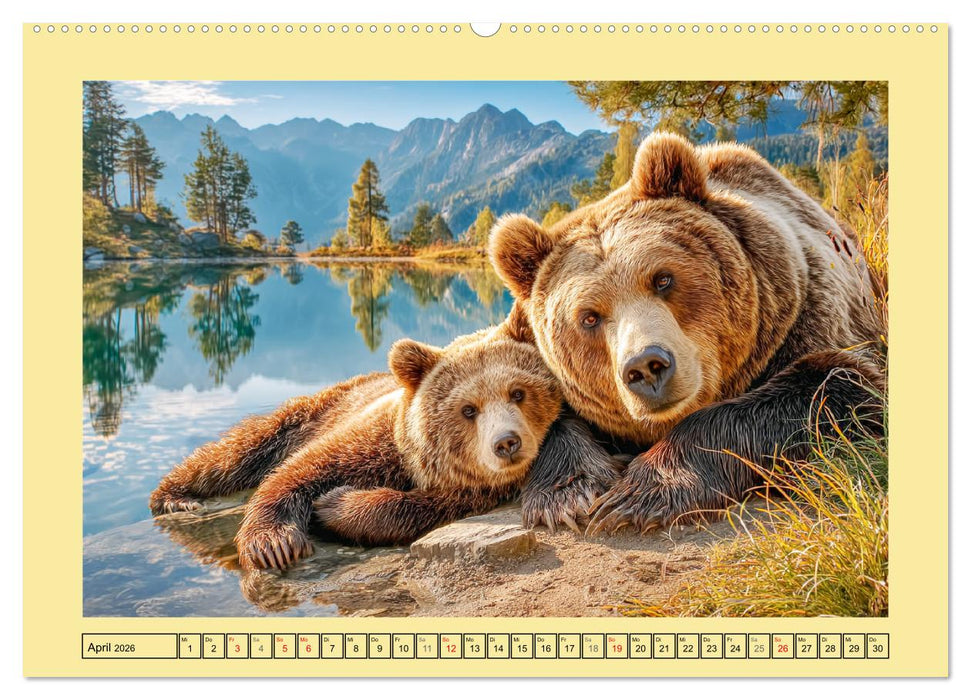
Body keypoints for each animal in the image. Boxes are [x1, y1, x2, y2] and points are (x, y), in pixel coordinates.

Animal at [149, 306, 562, 569]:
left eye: (518, 392)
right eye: (468, 409)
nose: (506, 443)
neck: (413, 464)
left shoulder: (464, 491)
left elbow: (409, 508)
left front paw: (332, 506)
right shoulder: (368, 439)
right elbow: (298, 471)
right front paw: (274, 543)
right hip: (307, 413)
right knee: (235, 453)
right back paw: (175, 497)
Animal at [489, 132, 885, 535]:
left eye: (663, 279)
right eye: (589, 317)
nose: (646, 366)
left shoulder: (807, 316)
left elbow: (834, 386)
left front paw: (641, 492)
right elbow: (547, 417)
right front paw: (567, 495)